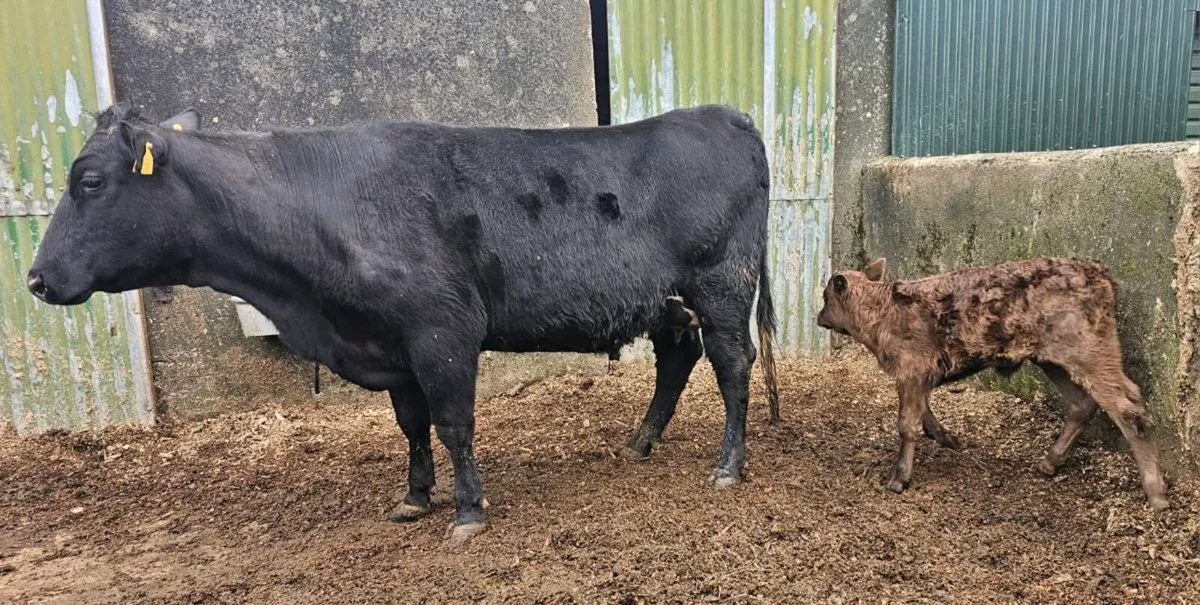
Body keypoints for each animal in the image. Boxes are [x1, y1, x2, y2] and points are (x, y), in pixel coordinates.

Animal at [27, 102, 782, 545]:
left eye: (89, 181)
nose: (35, 279)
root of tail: (723, 115)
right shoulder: (389, 344)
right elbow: (412, 426)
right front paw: (416, 497)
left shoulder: (442, 332)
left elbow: (453, 424)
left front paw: (468, 511)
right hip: (667, 301)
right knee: (677, 359)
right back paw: (640, 441)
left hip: (722, 283)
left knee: (733, 364)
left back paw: (728, 464)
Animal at [816, 257, 1168, 511]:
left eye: (826, 297)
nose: (819, 317)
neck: (886, 308)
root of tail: (1099, 272)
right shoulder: (917, 376)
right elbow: (924, 414)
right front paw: (948, 438)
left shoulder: (911, 371)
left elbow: (907, 424)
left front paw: (899, 478)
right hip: (1052, 360)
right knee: (1082, 404)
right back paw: (1049, 463)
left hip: (1092, 356)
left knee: (1128, 407)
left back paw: (1157, 494)